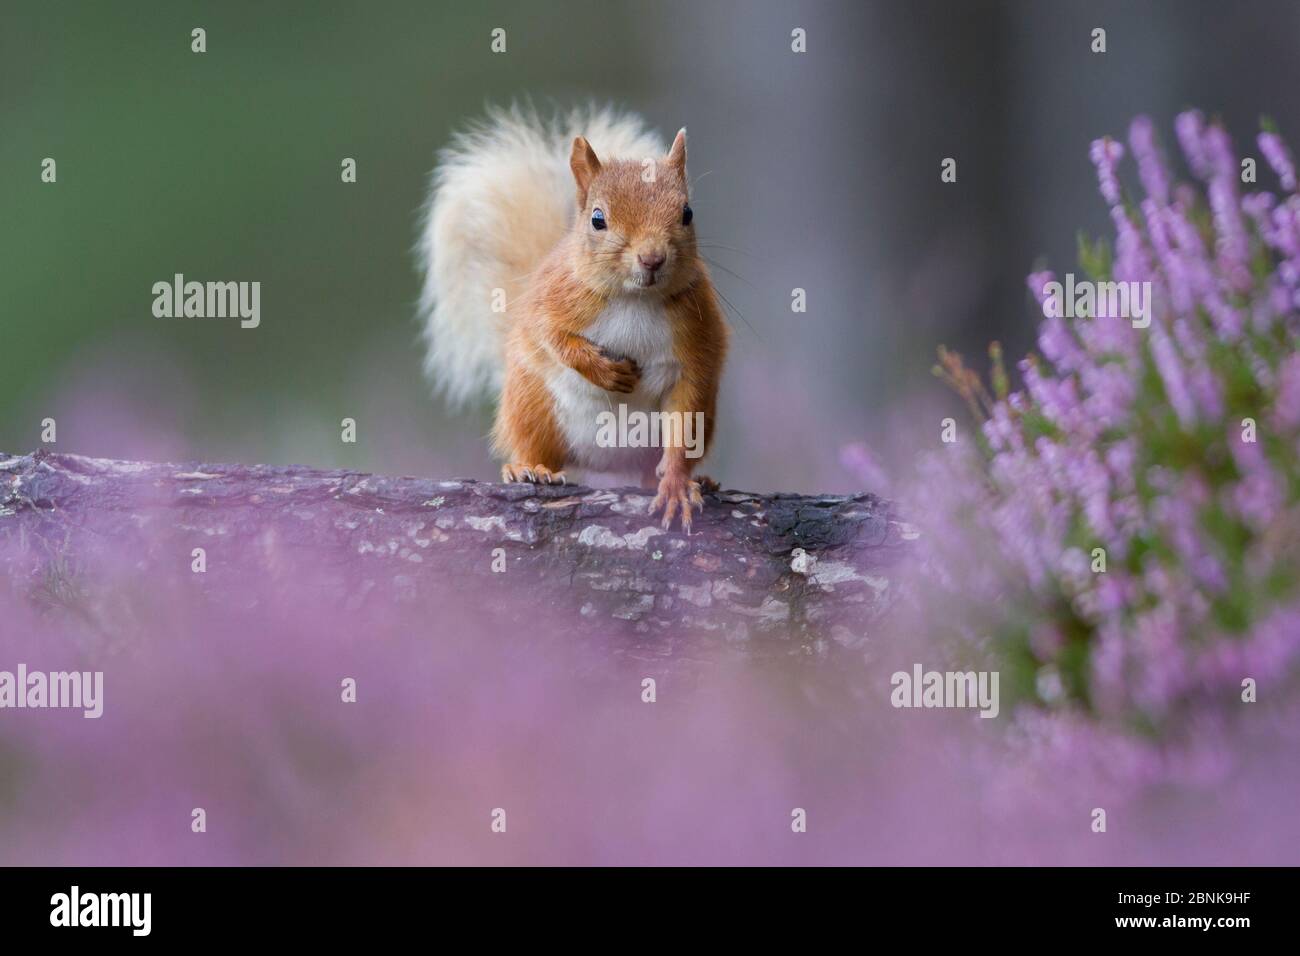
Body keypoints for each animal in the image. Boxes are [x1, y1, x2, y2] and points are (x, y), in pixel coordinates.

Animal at [416, 110, 728, 538]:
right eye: (598, 219)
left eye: (687, 213)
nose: (651, 258)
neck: (634, 298)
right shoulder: (552, 301)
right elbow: (552, 337)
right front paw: (604, 371)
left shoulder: (695, 341)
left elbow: (684, 422)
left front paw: (678, 485)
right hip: (532, 405)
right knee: (534, 445)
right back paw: (529, 469)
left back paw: (698, 480)